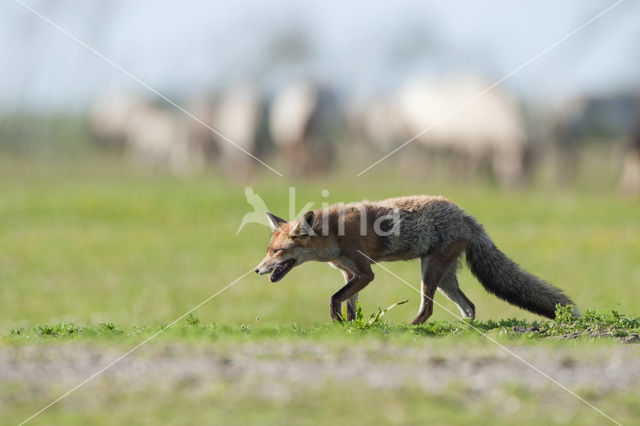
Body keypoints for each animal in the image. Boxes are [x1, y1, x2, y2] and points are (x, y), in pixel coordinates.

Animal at [254, 196, 576, 322]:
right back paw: (466, 330)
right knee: (469, 306)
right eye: (268, 249)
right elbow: (349, 305)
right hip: (445, 280)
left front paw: (337, 322)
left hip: (429, 274)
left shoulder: (365, 273)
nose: (257, 270)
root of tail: (465, 215)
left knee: (428, 310)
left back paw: (411, 328)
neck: (333, 234)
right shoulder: (349, 274)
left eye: (277, 252)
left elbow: (334, 299)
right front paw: (348, 327)